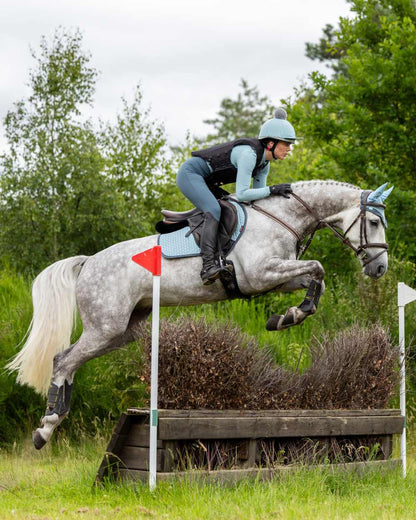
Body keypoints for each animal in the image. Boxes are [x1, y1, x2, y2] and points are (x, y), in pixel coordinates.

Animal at [6, 179, 392, 446]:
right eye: (374, 222)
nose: (380, 269)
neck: (282, 218)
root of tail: (88, 263)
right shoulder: (260, 274)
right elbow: (319, 268)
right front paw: (292, 315)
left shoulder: (275, 277)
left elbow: (315, 278)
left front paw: (288, 317)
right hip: (105, 326)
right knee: (63, 361)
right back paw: (46, 428)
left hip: (121, 331)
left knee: (70, 361)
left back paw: (54, 418)